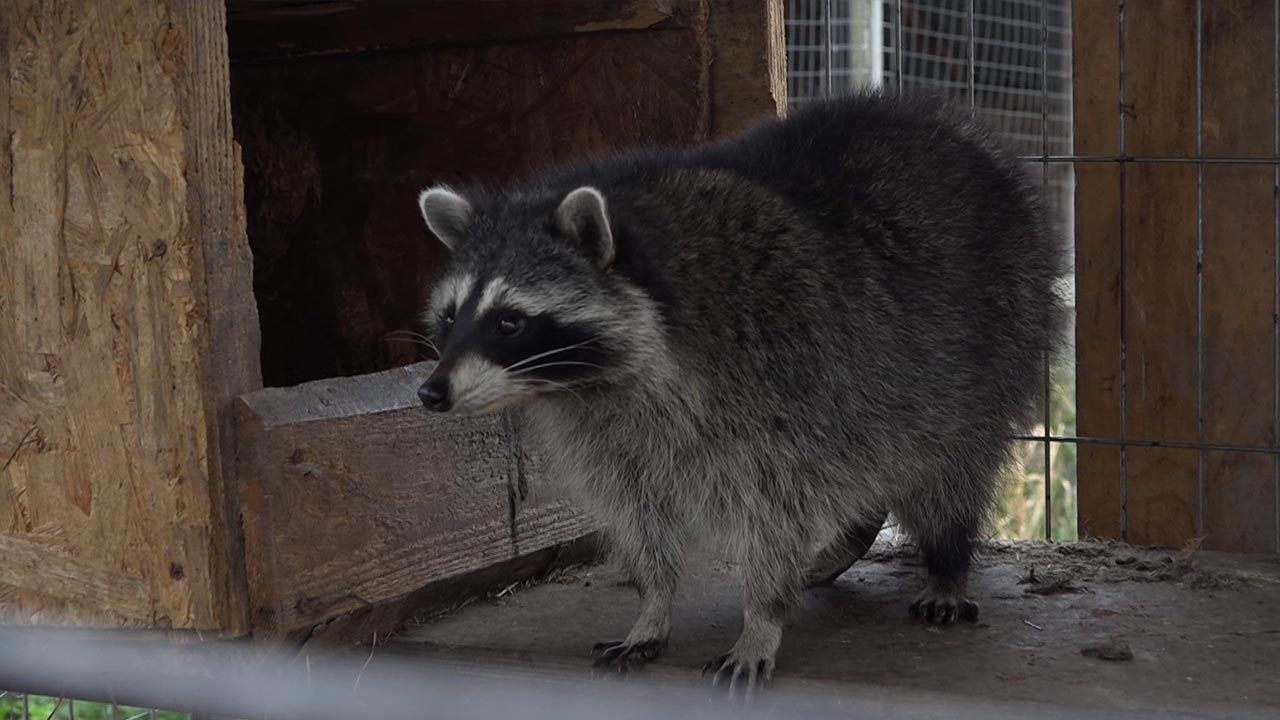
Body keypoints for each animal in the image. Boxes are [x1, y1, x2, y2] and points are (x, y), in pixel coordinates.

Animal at [414, 88, 1064, 691]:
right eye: (449, 316)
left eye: (508, 322)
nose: (431, 392)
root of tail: (960, 132)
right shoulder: (606, 430)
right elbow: (640, 511)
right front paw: (652, 606)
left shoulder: (781, 375)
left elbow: (778, 508)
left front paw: (761, 619)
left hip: (993, 326)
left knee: (949, 463)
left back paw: (947, 560)